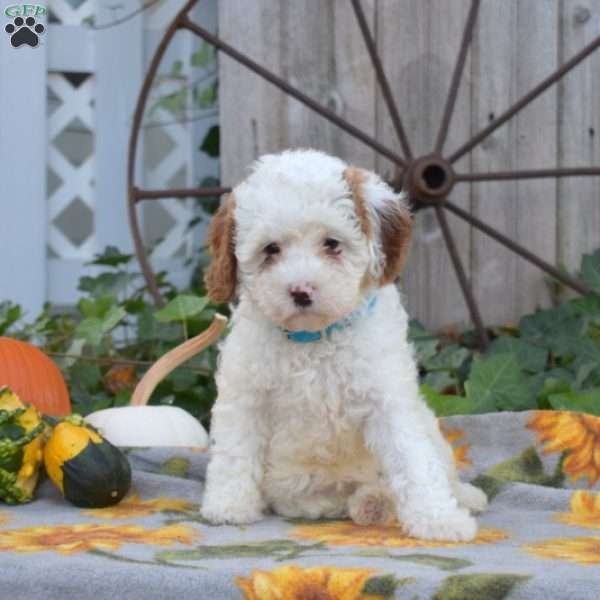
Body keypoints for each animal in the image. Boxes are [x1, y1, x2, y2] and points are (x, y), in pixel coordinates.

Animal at [202, 149, 488, 540]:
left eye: (331, 244)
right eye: (271, 249)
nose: (301, 291)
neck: (313, 337)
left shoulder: (388, 399)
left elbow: (413, 460)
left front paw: (439, 519)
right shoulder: (246, 395)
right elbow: (235, 450)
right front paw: (229, 505)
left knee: (435, 471)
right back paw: (370, 503)